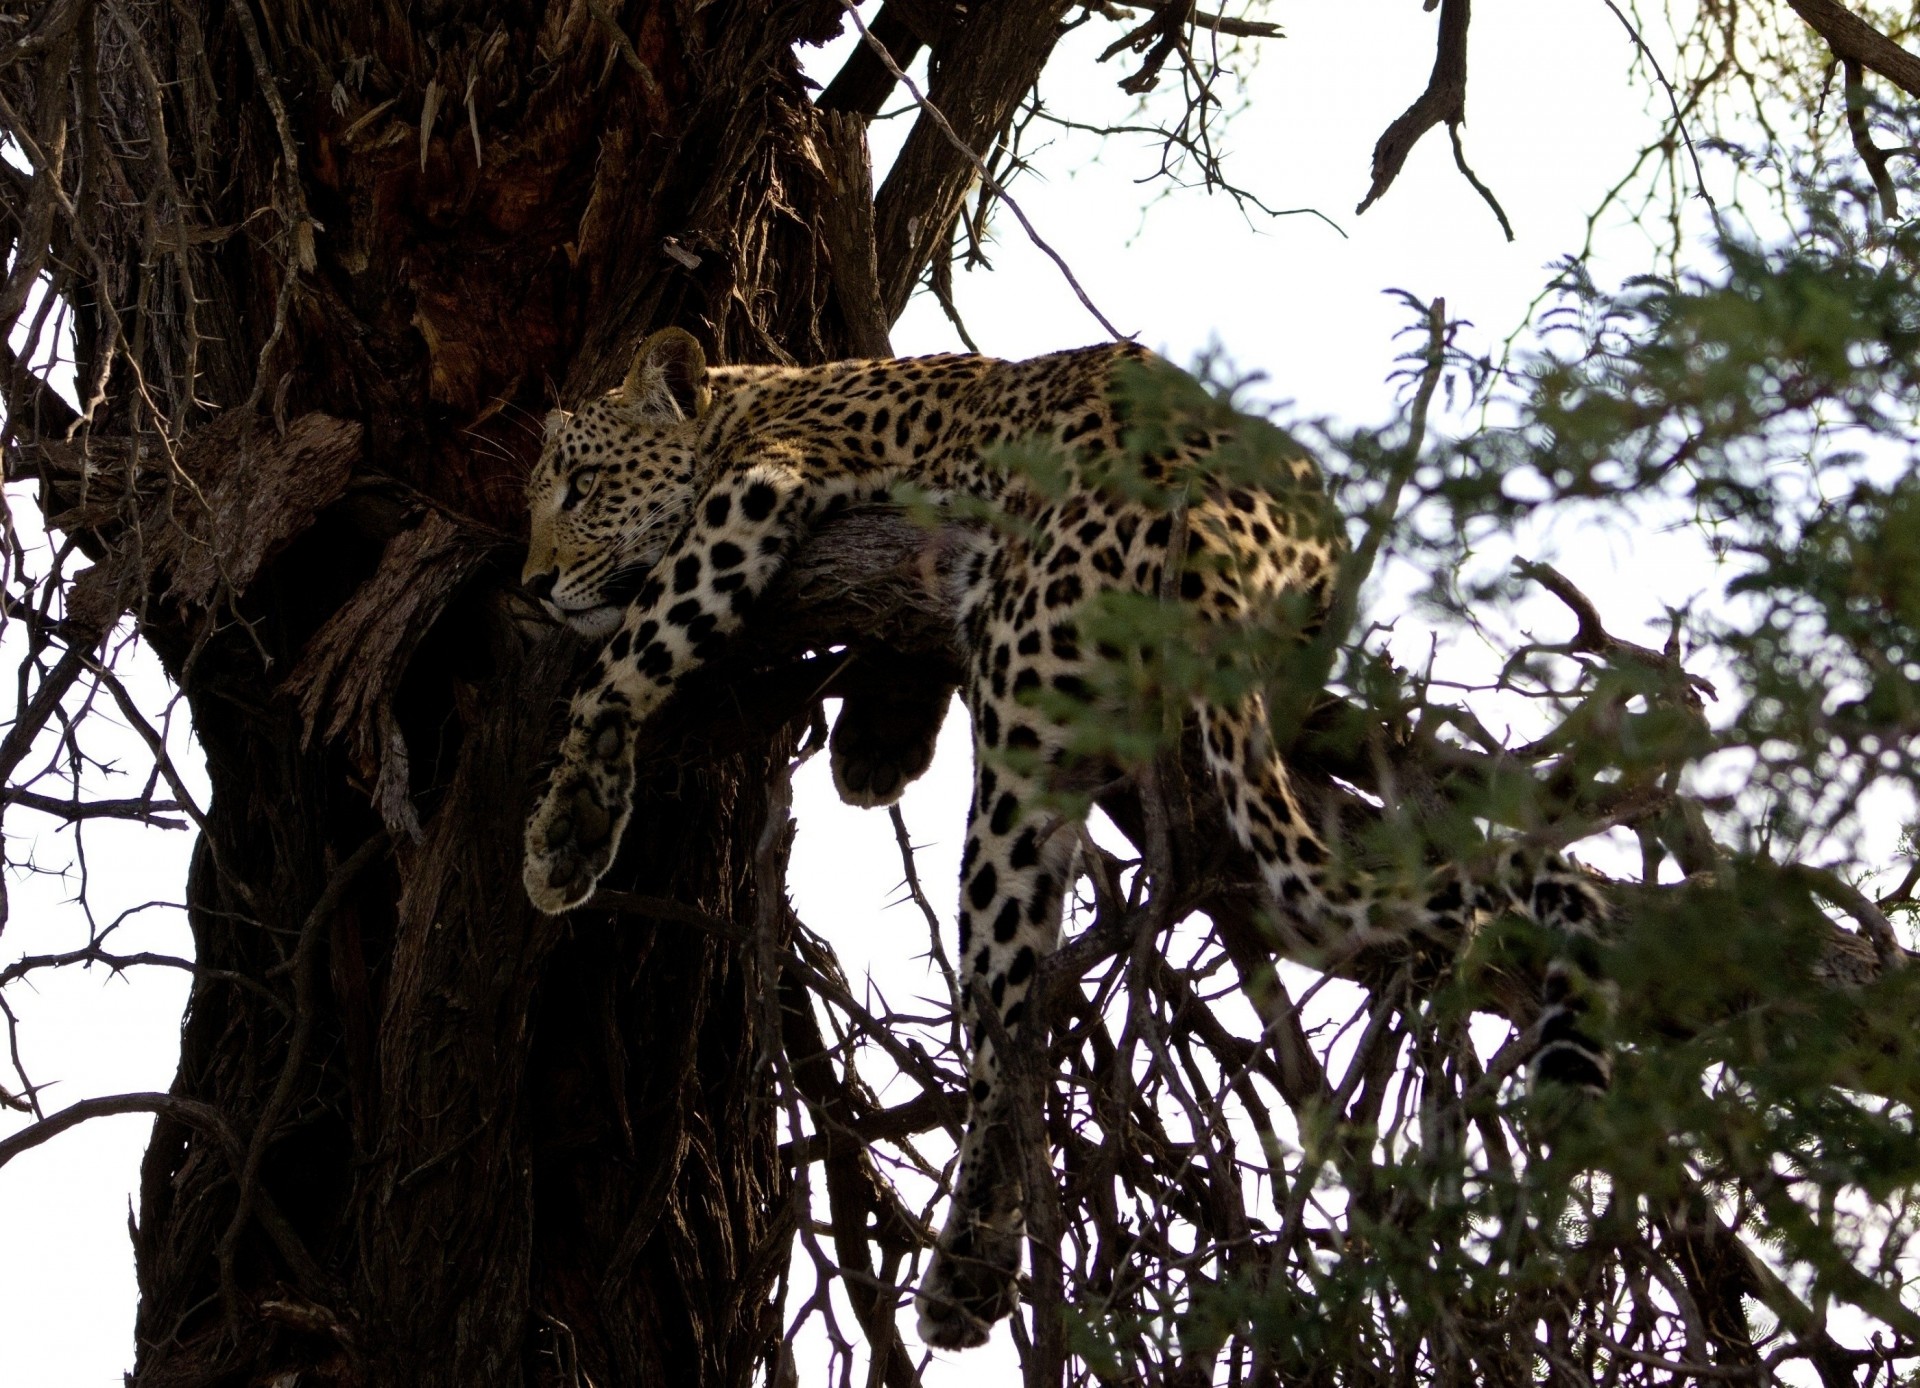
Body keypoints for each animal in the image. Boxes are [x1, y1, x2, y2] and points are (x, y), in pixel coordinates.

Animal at [518, 332, 1612, 1351]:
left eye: (580, 485)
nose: (529, 585)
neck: (756, 395)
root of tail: (1224, 514)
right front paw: (875, 746)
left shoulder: (765, 480)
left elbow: (632, 649)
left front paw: (569, 827)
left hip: (1023, 723)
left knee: (1009, 1019)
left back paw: (967, 1271)